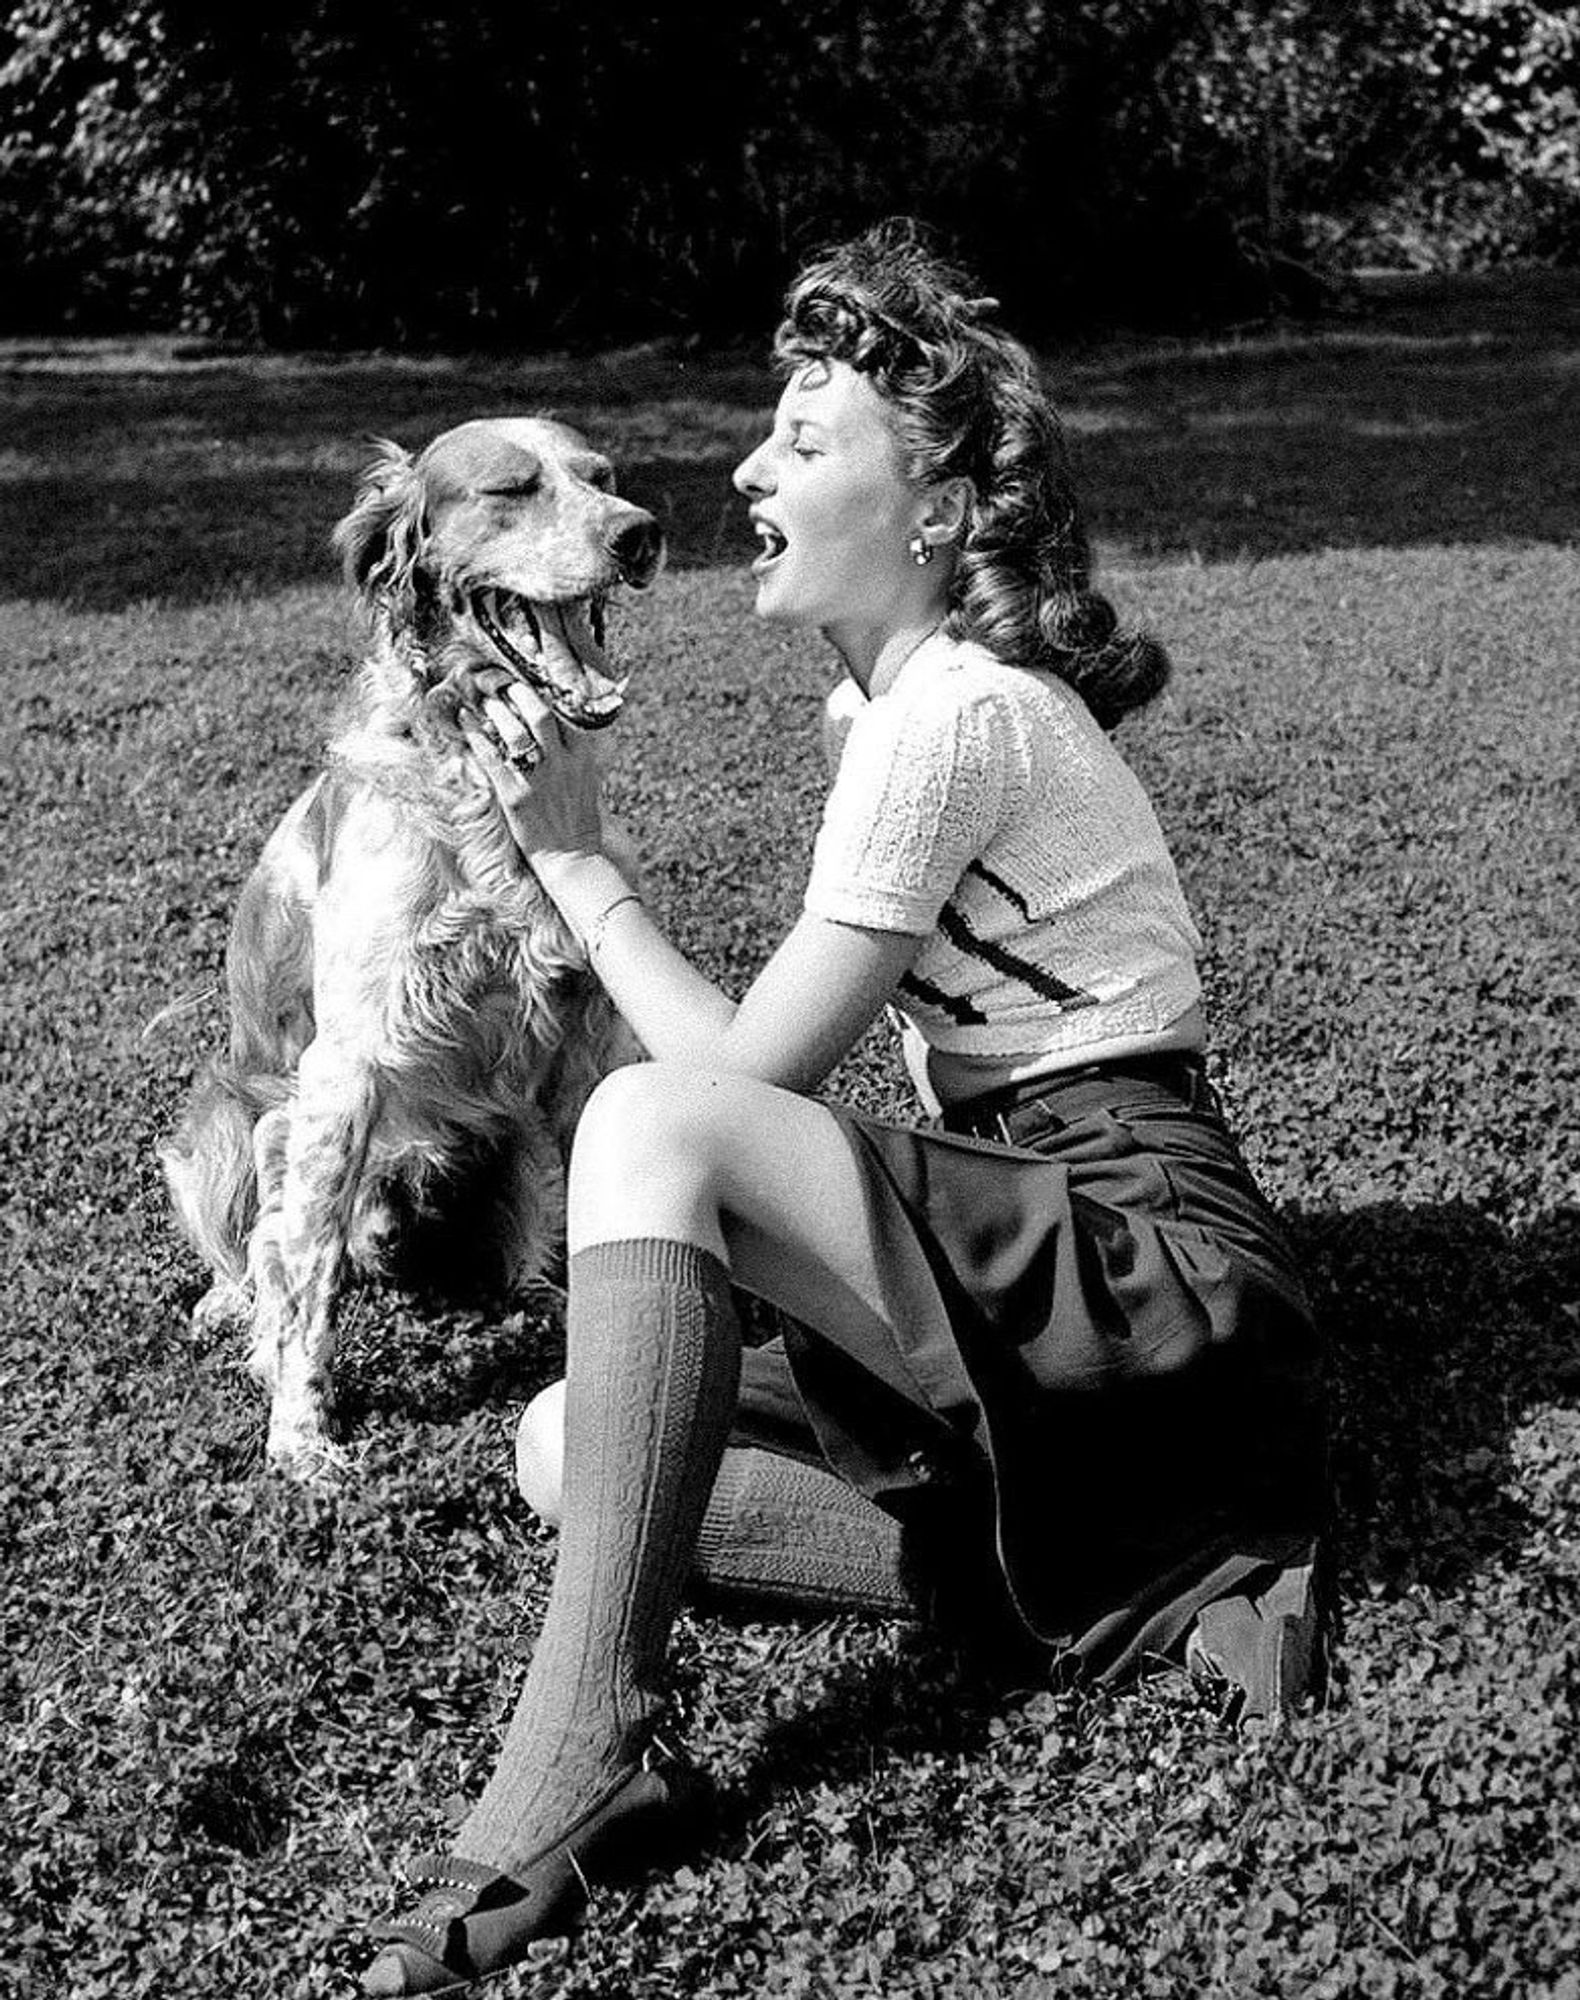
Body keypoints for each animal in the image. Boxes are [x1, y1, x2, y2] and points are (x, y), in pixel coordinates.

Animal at [166, 418, 668, 1488]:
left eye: (604, 478)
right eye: (511, 490)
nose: (640, 533)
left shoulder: (585, 1051)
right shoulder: (343, 1069)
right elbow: (307, 1277)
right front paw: (302, 1434)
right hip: (229, 1119)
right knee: (260, 1249)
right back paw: (233, 1307)